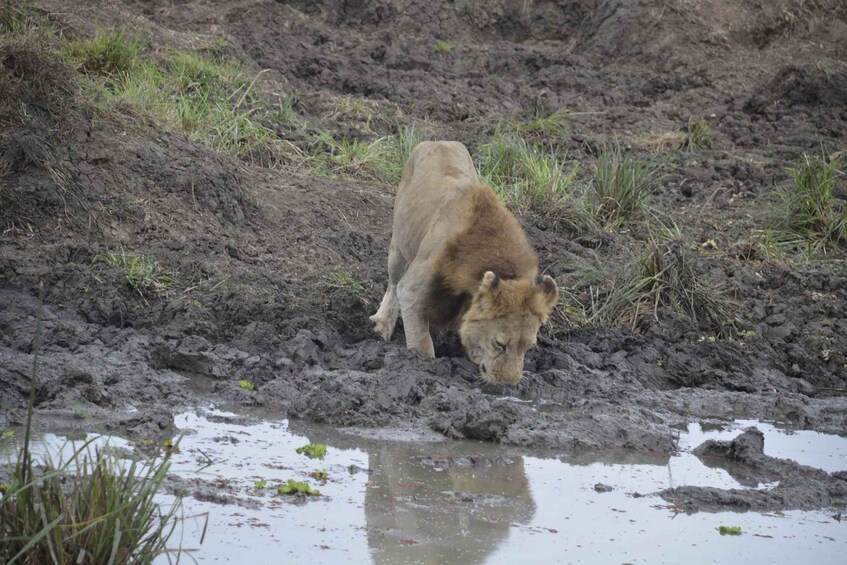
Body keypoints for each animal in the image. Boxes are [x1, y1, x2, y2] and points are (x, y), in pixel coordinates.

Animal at [372, 140, 560, 384]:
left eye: (528, 347)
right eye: (499, 344)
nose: (509, 383)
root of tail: (438, 140)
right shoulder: (412, 290)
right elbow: (421, 342)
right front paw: (423, 366)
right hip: (399, 246)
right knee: (393, 284)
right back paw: (382, 323)